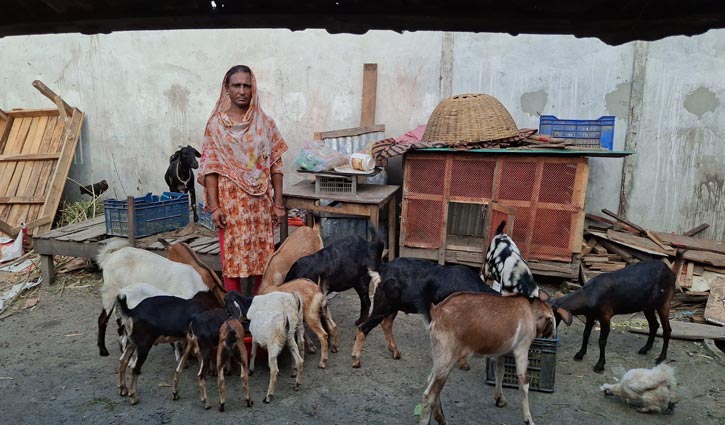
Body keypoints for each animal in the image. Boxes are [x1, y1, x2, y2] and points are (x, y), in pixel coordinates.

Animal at [352, 258, 499, 369]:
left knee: (386, 324)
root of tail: (382, 270)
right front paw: (463, 364)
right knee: (364, 327)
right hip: (383, 305)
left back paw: (395, 352)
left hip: (393, 306)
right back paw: (356, 360)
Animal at [419, 292, 569, 425]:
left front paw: (499, 399)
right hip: (447, 357)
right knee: (429, 394)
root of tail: (437, 310)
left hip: (440, 356)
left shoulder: (500, 354)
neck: (530, 309)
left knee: (430, 381)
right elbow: (523, 382)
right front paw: (528, 419)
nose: (552, 338)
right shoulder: (522, 349)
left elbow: (500, 373)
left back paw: (441, 419)